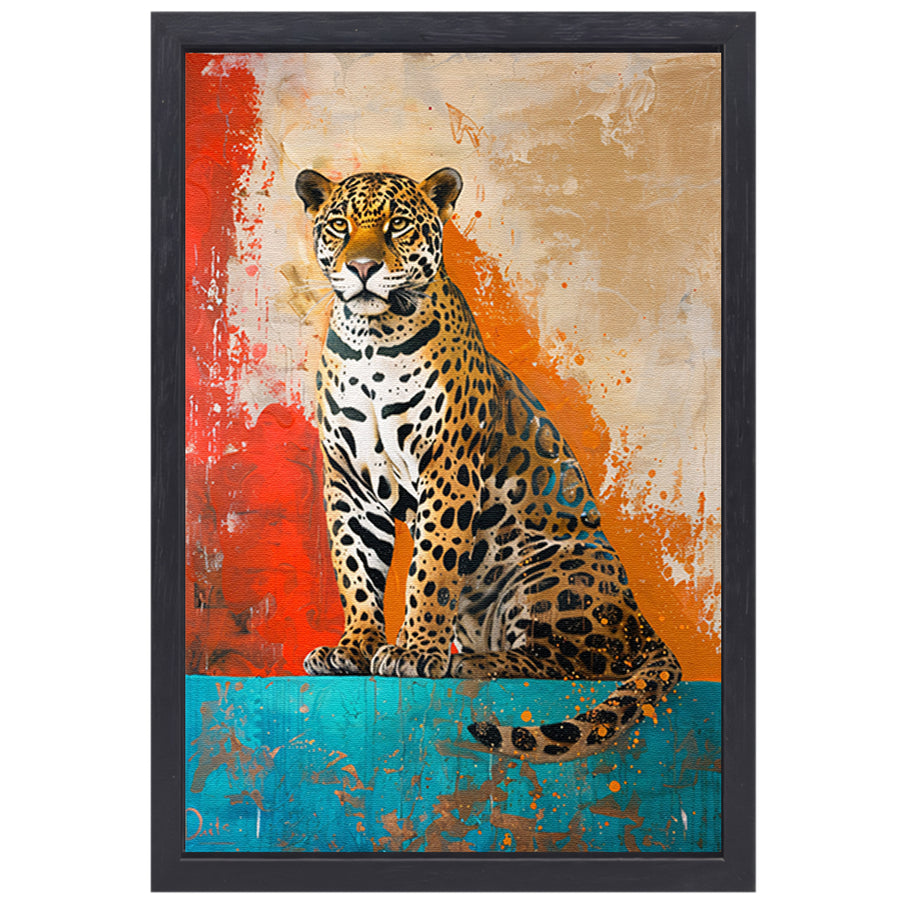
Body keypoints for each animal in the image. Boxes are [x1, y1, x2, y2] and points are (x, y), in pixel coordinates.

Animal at [295, 166, 682, 761]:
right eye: (339, 225)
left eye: (397, 225)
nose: (362, 268)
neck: (371, 343)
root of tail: (643, 624)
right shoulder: (350, 486)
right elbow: (356, 569)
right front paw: (354, 648)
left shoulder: (447, 470)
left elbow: (430, 571)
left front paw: (414, 650)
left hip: (552, 573)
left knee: (565, 663)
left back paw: (466, 662)